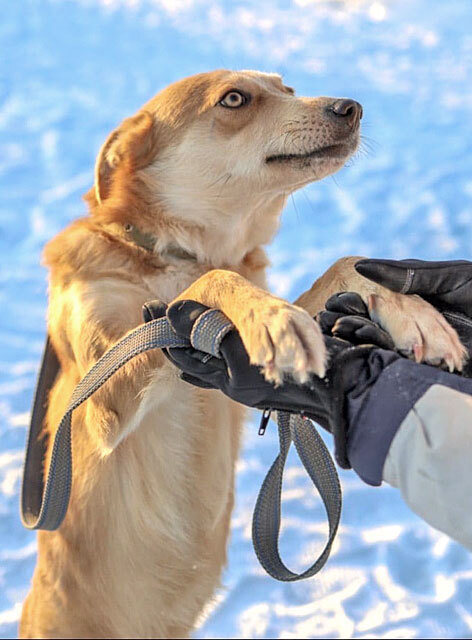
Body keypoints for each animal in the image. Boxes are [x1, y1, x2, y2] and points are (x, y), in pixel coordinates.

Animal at [20, 70, 465, 639]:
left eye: (288, 89)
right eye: (234, 98)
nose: (351, 107)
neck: (171, 254)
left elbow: (345, 265)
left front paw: (413, 312)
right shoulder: (103, 410)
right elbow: (214, 278)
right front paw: (267, 318)